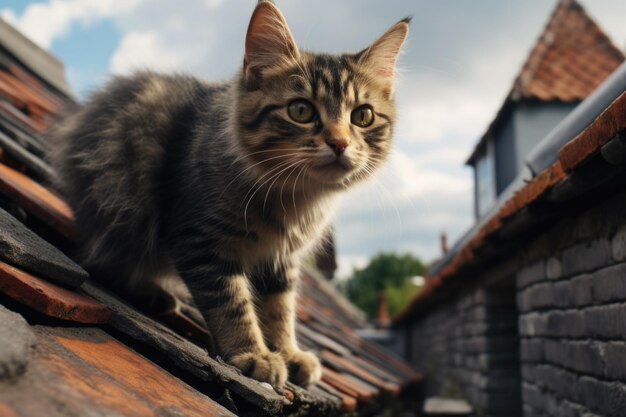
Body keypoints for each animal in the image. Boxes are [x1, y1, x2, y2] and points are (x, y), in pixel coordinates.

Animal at [50, 0, 410, 386]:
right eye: (301, 110)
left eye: (363, 116)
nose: (340, 143)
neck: (295, 198)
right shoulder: (202, 240)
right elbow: (232, 303)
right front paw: (253, 354)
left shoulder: (280, 261)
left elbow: (279, 310)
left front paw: (288, 352)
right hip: (120, 203)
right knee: (106, 259)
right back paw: (152, 291)